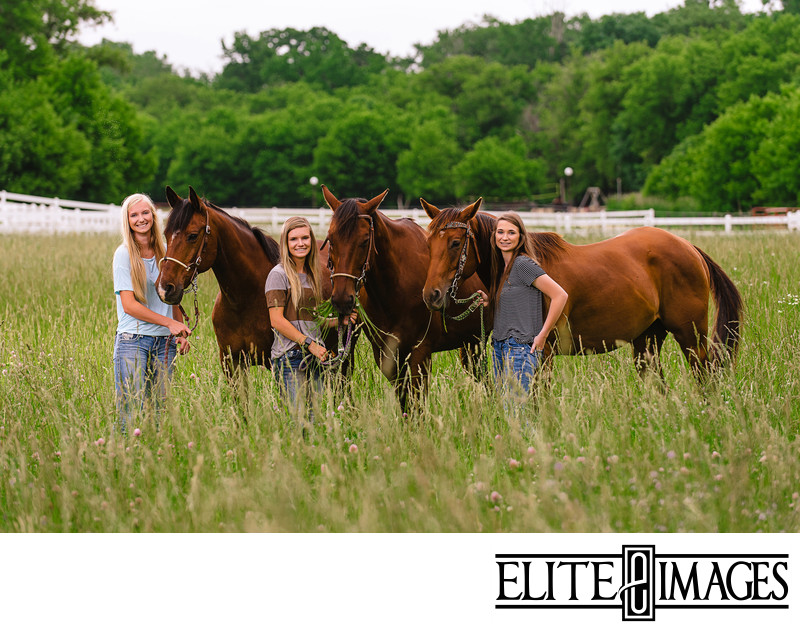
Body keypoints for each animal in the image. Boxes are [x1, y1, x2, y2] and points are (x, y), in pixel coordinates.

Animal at [322, 185, 490, 412]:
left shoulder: (420, 354)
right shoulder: (387, 356)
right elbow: (405, 403)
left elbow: (417, 405)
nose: (341, 299)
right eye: (331, 239)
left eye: (364, 240)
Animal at [424, 200, 744, 378]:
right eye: (428, 243)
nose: (431, 295)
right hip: (648, 340)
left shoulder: (543, 353)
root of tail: (688, 246)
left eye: (455, 243)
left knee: (705, 375)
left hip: (690, 336)